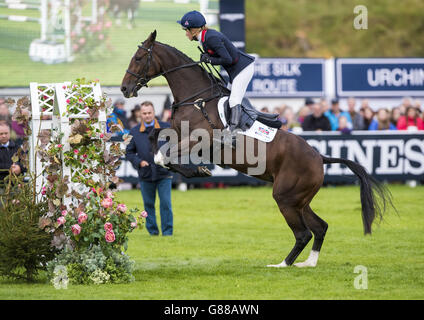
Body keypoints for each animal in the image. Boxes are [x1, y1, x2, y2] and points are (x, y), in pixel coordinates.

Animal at [120, 31, 394, 268]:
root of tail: (320, 156)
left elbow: (163, 154)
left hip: (285, 197)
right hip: (300, 200)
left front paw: (197, 171)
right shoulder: (177, 133)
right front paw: (195, 170)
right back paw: (308, 263)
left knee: (303, 233)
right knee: (320, 227)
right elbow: (156, 142)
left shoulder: (200, 139)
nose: (124, 89)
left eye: (139, 58)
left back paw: (282, 264)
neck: (196, 99)